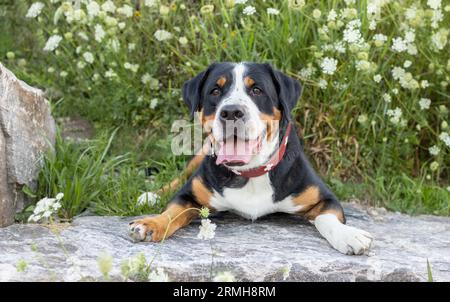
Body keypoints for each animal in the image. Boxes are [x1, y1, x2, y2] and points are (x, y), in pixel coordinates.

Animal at [129, 62, 372, 255]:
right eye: (215, 91)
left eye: (257, 90)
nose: (231, 112)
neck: (251, 173)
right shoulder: (190, 194)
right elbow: (172, 212)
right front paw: (151, 222)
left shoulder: (324, 197)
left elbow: (326, 218)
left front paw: (348, 235)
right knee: (180, 175)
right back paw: (151, 195)